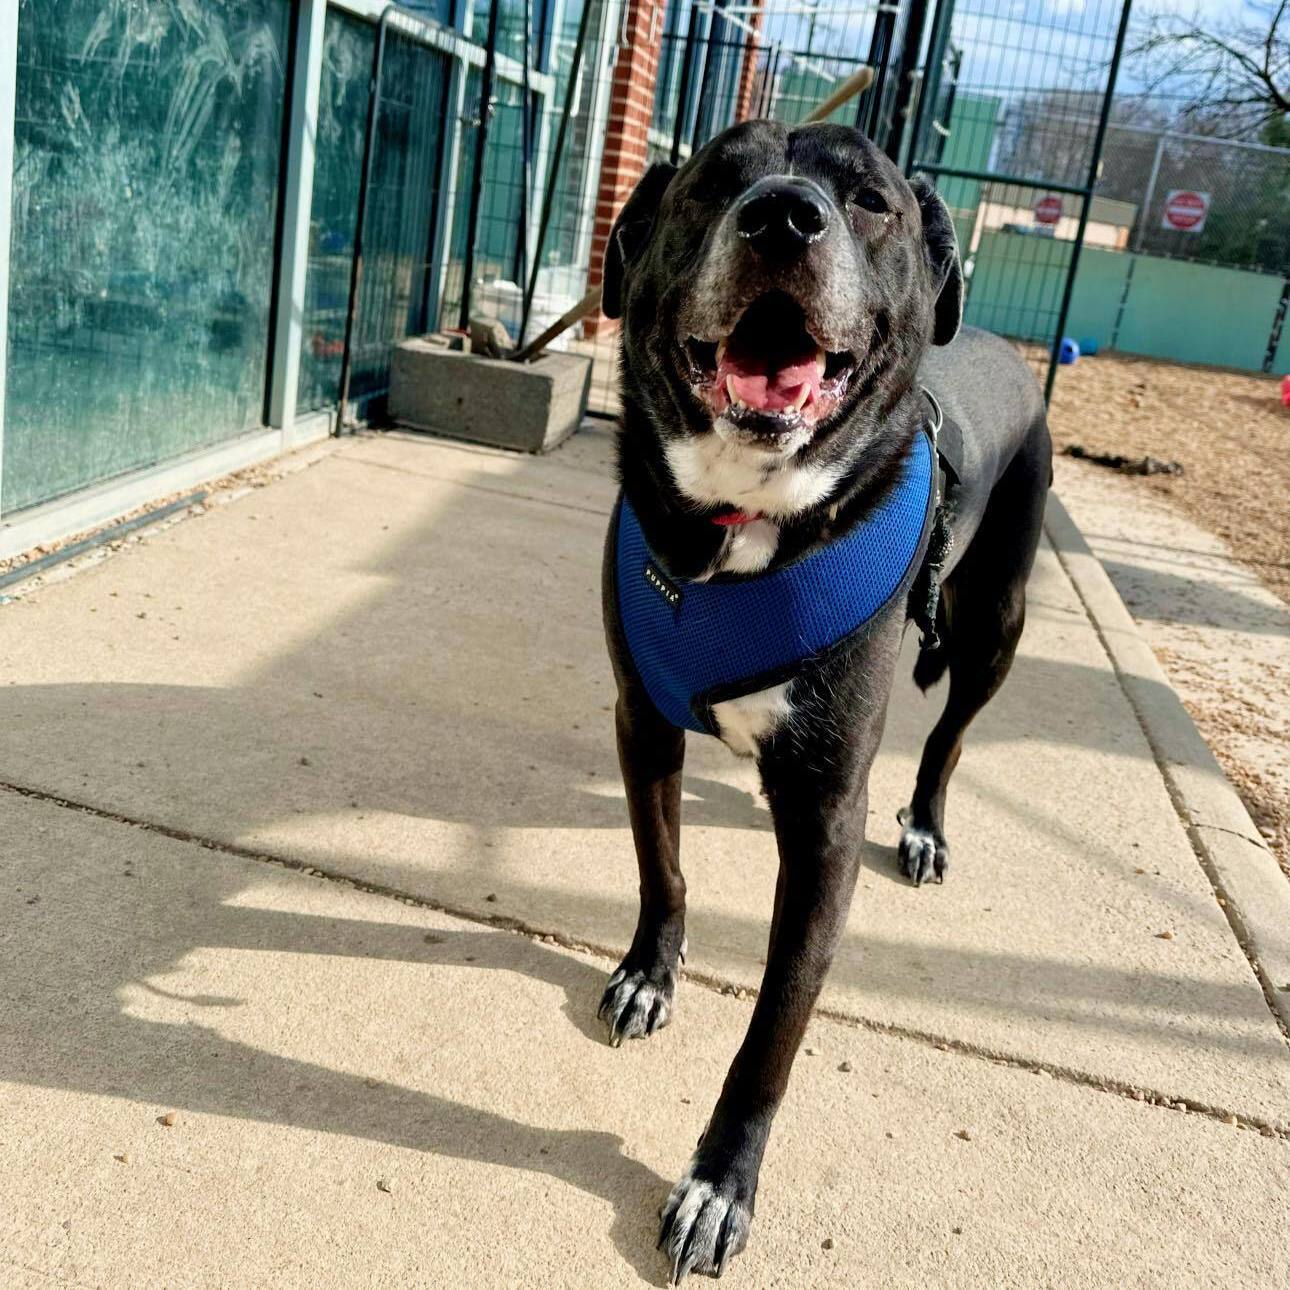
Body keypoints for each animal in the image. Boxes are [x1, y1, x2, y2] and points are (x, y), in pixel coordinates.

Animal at [593, 123, 1047, 1279]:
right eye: (713, 179)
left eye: (871, 198)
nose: (785, 215)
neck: (736, 526)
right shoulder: (641, 721)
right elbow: (661, 866)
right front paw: (651, 972)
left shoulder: (830, 816)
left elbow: (774, 1029)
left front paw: (719, 1184)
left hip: (998, 622)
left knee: (951, 739)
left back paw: (927, 826)